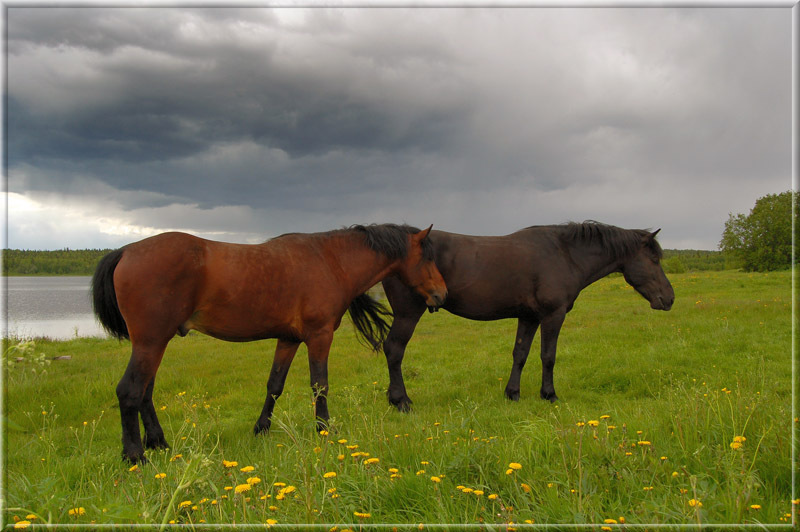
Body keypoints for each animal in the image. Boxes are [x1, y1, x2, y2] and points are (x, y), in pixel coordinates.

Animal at [92, 222, 450, 464]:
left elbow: (275, 384)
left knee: (146, 392)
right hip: (150, 342)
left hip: (154, 344)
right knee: (130, 391)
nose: (441, 294)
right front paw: (324, 429)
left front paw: (261, 429)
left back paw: (159, 444)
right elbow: (319, 383)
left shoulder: (289, 339)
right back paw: (136, 455)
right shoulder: (320, 335)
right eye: (427, 258)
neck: (330, 261)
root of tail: (126, 251)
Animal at [382, 220, 676, 412]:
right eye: (654, 260)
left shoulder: (529, 317)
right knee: (394, 349)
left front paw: (512, 394)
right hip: (408, 314)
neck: (565, 254)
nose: (669, 298)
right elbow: (548, 356)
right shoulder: (553, 315)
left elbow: (520, 354)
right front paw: (549, 395)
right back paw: (401, 401)